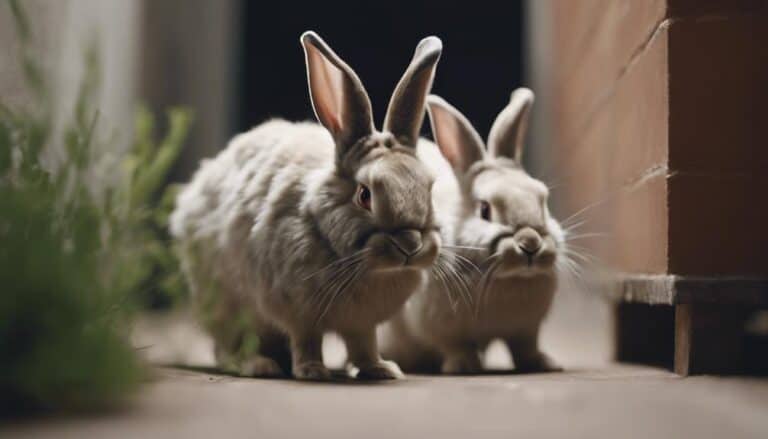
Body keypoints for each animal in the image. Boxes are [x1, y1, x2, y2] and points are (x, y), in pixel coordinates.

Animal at [170, 31, 444, 381]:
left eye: (429, 188)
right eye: (364, 195)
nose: (410, 245)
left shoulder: (362, 324)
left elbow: (364, 345)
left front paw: (381, 369)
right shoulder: (299, 313)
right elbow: (307, 340)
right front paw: (313, 371)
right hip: (227, 304)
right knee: (228, 344)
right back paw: (259, 365)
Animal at [380, 88, 565, 374]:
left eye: (542, 200)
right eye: (485, 210)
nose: (530, 243)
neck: (506, 278)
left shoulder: (525, 330)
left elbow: (525, 349)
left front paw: (545, 364)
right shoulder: (444, 329)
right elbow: (456, 347)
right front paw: (463, 367)